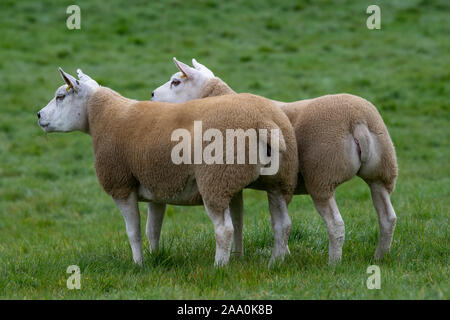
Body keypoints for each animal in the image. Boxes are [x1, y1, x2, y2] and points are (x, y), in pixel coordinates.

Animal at [37, 67, 298, 264]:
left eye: (61, 96)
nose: (38, 115)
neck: (105, 115)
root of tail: (263, 120)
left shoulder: (121, 185)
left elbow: (133, 232)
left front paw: (138, 265)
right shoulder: (157, 186)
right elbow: (153, 229)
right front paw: (154, 258)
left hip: (215, 179)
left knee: (224, 230)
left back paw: (218, 268)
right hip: (278, 179)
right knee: (282, 224)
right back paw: (275, 262)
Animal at [151, 58, 398, 262]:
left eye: (176, 82)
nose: (152, 95)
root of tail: (358, 121)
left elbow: (238, 221)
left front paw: (239, 258)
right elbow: (242, 219)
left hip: (322, 175)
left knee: (336, 224)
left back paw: (333, 263)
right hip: (382, 172)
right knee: (388, 217)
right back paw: (380, 257)